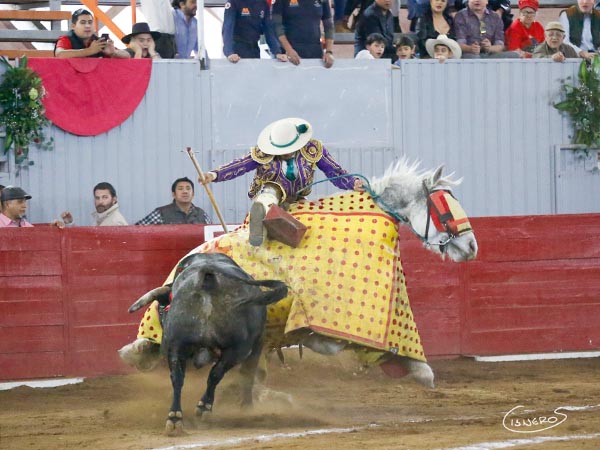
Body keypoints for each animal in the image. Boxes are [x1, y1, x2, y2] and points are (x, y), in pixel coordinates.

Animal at [155, 253, 288, 432]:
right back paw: (204, 407)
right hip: (237, 349)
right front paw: (246, 407)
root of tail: (208, 276)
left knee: (178, 377)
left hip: (177, 344)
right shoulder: (257, 342)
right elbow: (247, 374)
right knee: (217, 374)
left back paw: (175, 417)